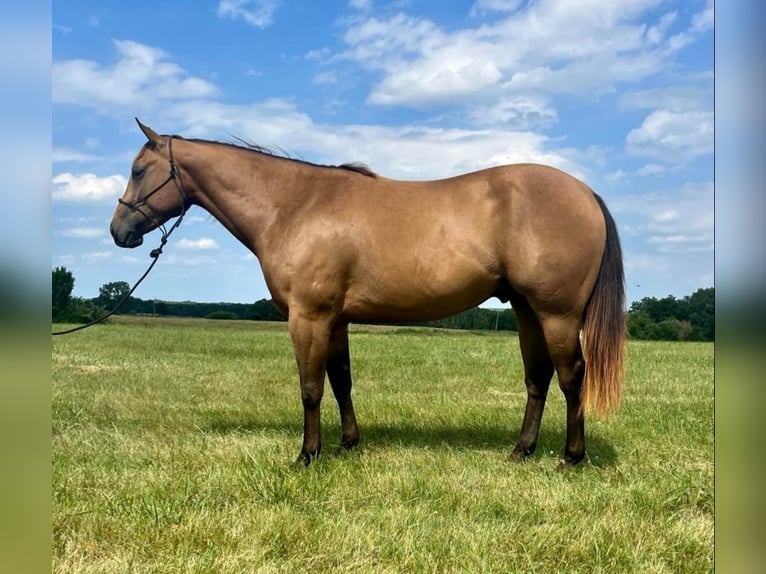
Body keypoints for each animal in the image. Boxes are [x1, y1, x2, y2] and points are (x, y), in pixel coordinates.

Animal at [111, 119, 628, 470]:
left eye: (138, 170)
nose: (119, 232)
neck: (295, 206)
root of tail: (585, 193)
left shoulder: (308, 317)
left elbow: (310, 388)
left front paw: (307, 455)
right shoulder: (335, 319)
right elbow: (341, 380)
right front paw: (347, 444)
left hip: (557, 314)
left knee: (572, 377)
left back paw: (571, 458)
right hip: (526, 311)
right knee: (538, 378)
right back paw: (521, 451)